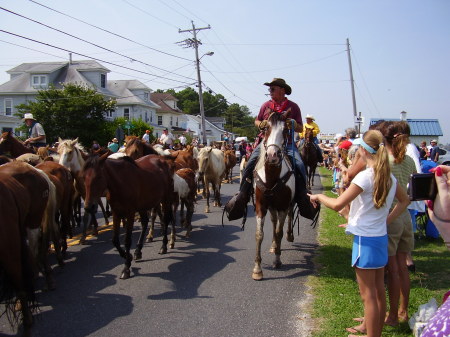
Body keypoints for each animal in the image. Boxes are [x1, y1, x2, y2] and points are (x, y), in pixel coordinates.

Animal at [250, 111, 296, 280]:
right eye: (266, 128)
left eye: (286, 130)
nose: (272, 156)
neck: (271, 178)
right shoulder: (261, 207)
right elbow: (259, 234)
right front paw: (257, 269)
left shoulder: (282, 206)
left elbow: (278, 232)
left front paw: (277, 259)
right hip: (271, 208)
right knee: (274, 221)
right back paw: (273, 245)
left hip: (287, 205)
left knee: (288, 217)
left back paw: (287, 238)